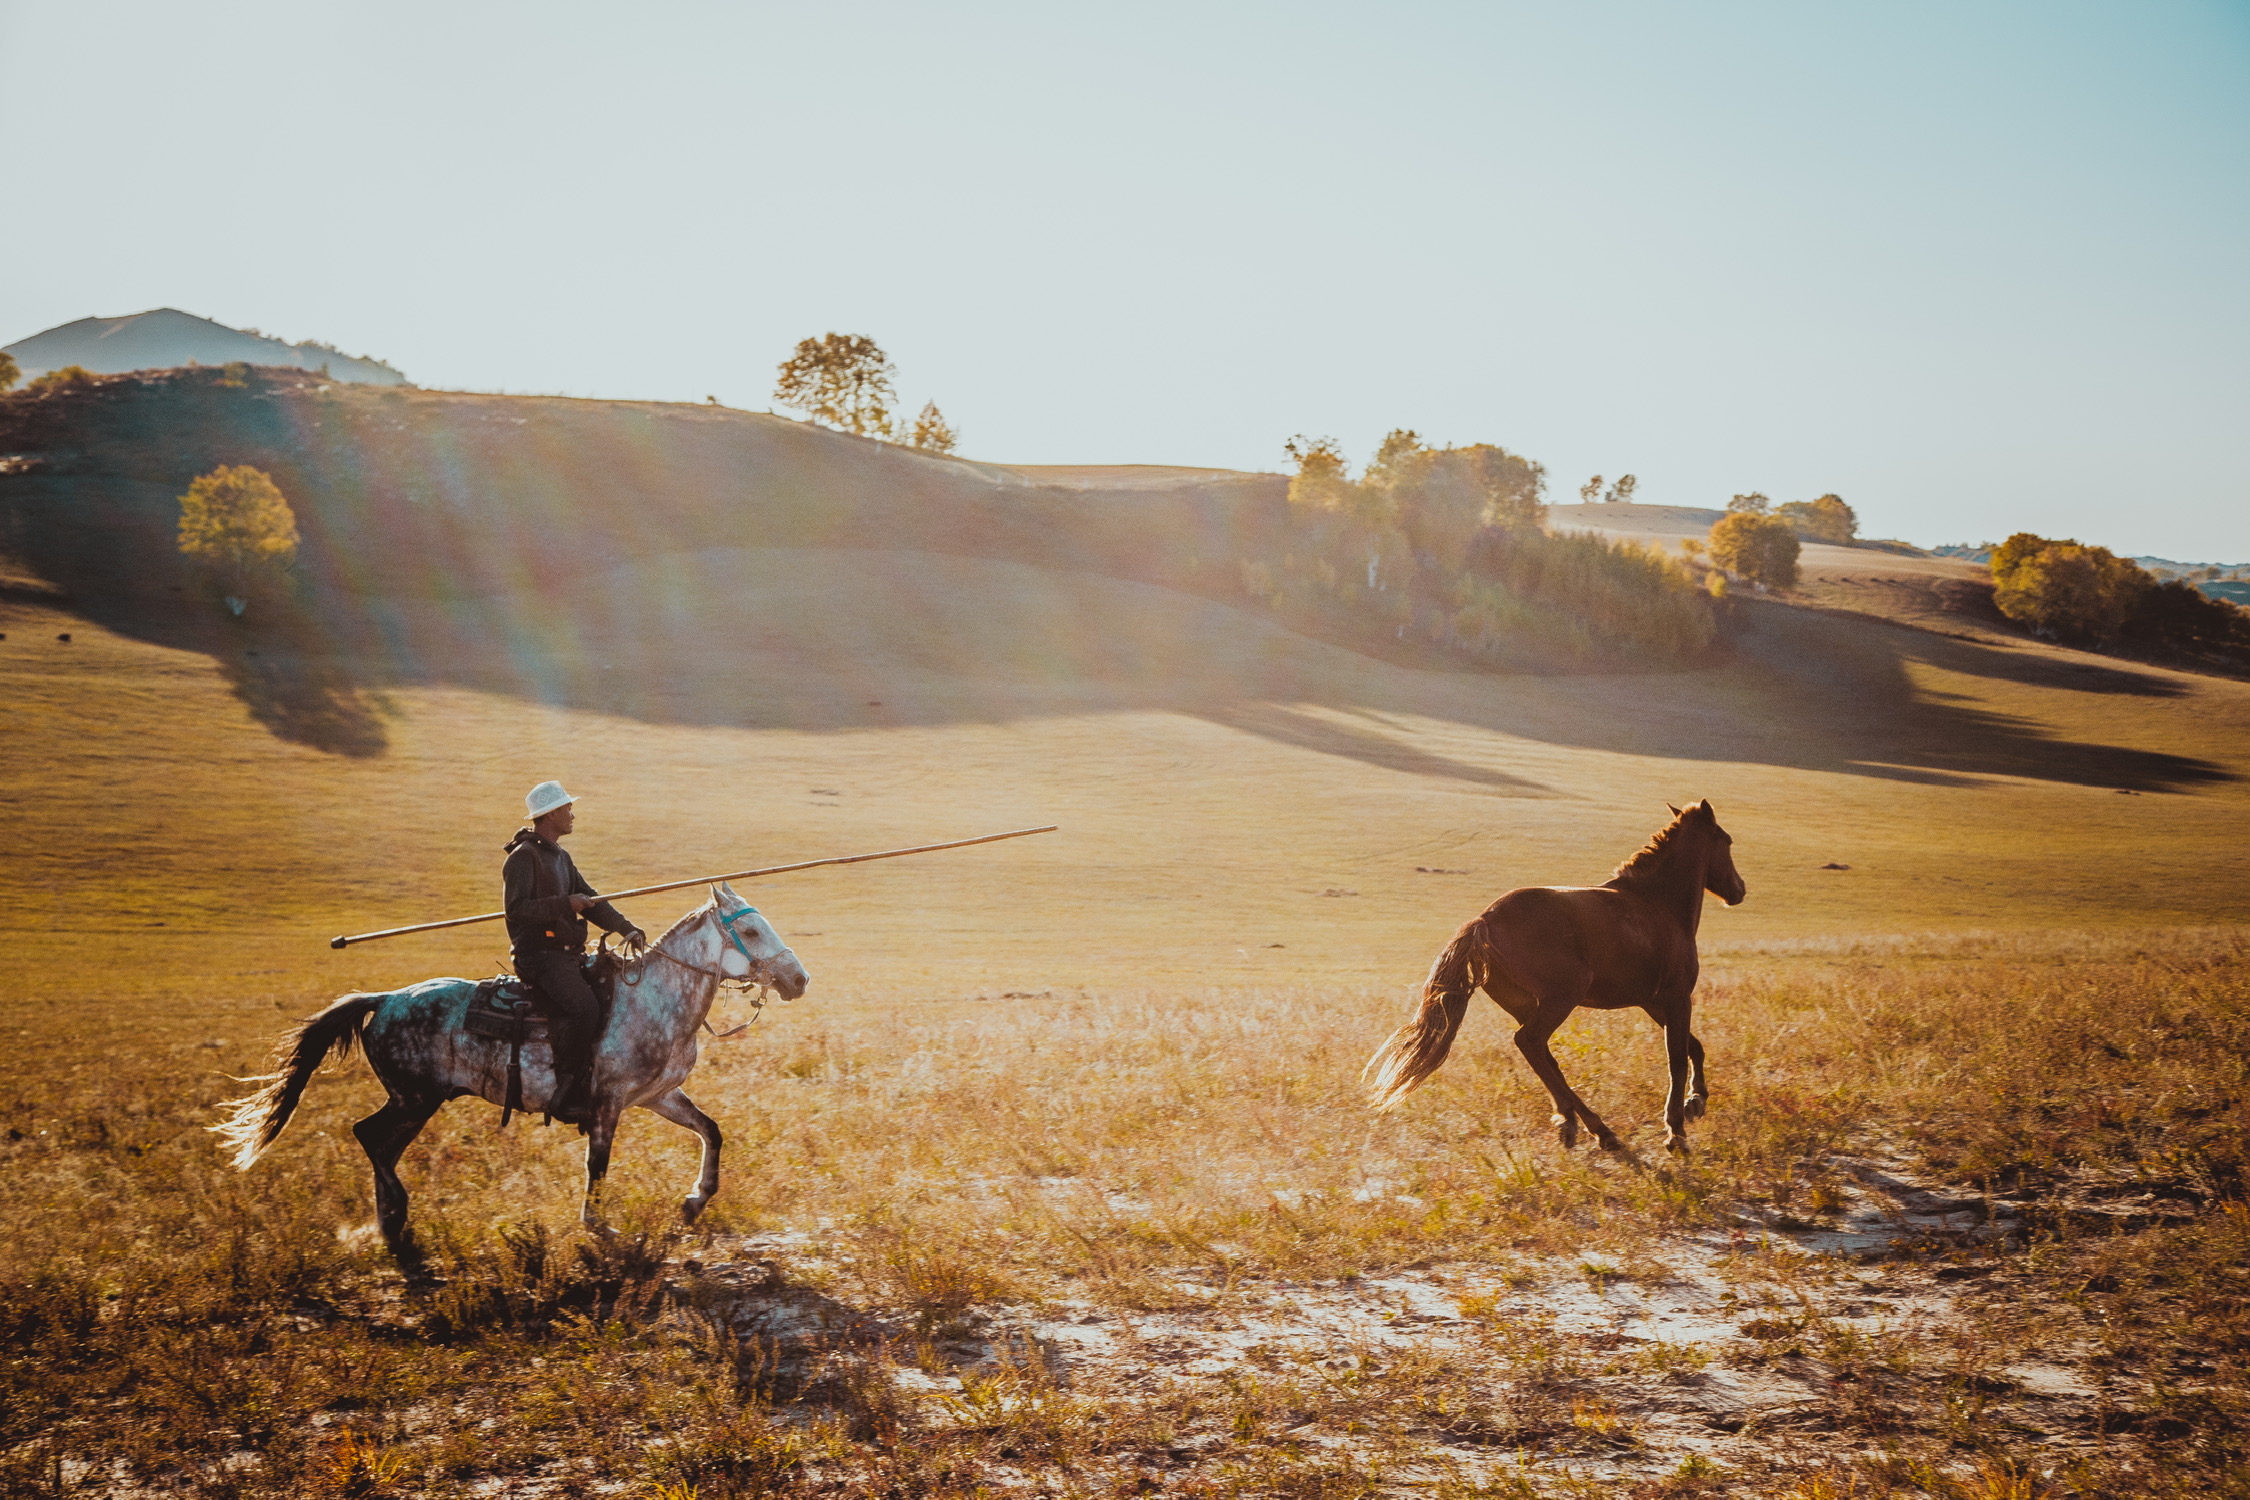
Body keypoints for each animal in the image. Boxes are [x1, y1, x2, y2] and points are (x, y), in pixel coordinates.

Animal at [212, 882, 809, 1246]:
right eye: (750, 931)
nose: (799, 980)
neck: (654, 998)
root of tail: (383, 999)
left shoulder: (658, 1096)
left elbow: (711, 1131)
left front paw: (693, 1202)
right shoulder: (608, 1103)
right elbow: (597, 1167)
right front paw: (602, 1228)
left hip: (415, 1101)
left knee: (380, 1143)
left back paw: (392, 1223)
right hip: (416, 1097)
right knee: (368, 1135)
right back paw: (395, 1214)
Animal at [1361, 801, 1745, 1155]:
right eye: (1726, 840)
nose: (1739, 890)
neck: (1659, 905)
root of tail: (1483, 921)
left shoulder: (1652, 1003)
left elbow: (1693, 1047)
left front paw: (1696, 1103)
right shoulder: (1676, 997)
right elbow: (1677, 1058)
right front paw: (1677, 1129)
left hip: (1525, 1004)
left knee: (1543, 1056)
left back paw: (1576, 1123)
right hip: (1561, 998)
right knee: (1530, 1043)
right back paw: (1599, 1131)